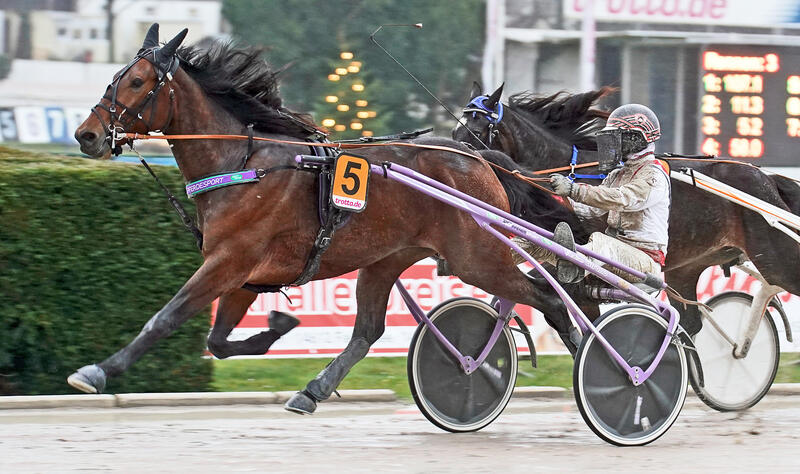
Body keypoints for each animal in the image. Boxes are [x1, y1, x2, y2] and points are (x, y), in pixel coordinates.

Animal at [70, 24, 592, 410]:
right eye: (115, 76)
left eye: (137, 81)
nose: (86, 135)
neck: (246, 163)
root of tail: (479, 158)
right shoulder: (243, 273)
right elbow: (218, 341)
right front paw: (278, 326)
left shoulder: (229, 261)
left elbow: (165, 318)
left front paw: (96, 371)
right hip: (387, 259)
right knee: (367, 332)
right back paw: (313, 389)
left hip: (478, 257)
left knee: (549, 298)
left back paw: (594, 363)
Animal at [454, 84, 800, 336]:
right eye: (458, 128)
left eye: (478, 129)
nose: (460, 155)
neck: (575, 169)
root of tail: (767, 177)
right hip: (687, 267)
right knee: (690, 323)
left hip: (775, 257)